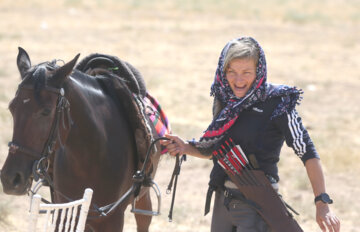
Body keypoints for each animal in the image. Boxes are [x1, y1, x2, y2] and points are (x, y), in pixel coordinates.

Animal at [0, 48, 162, 231]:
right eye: (12, 107)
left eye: (46, 111)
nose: (10, 178)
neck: (92, 156)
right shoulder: (66, 211)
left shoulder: (112, 218)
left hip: (142, 198)